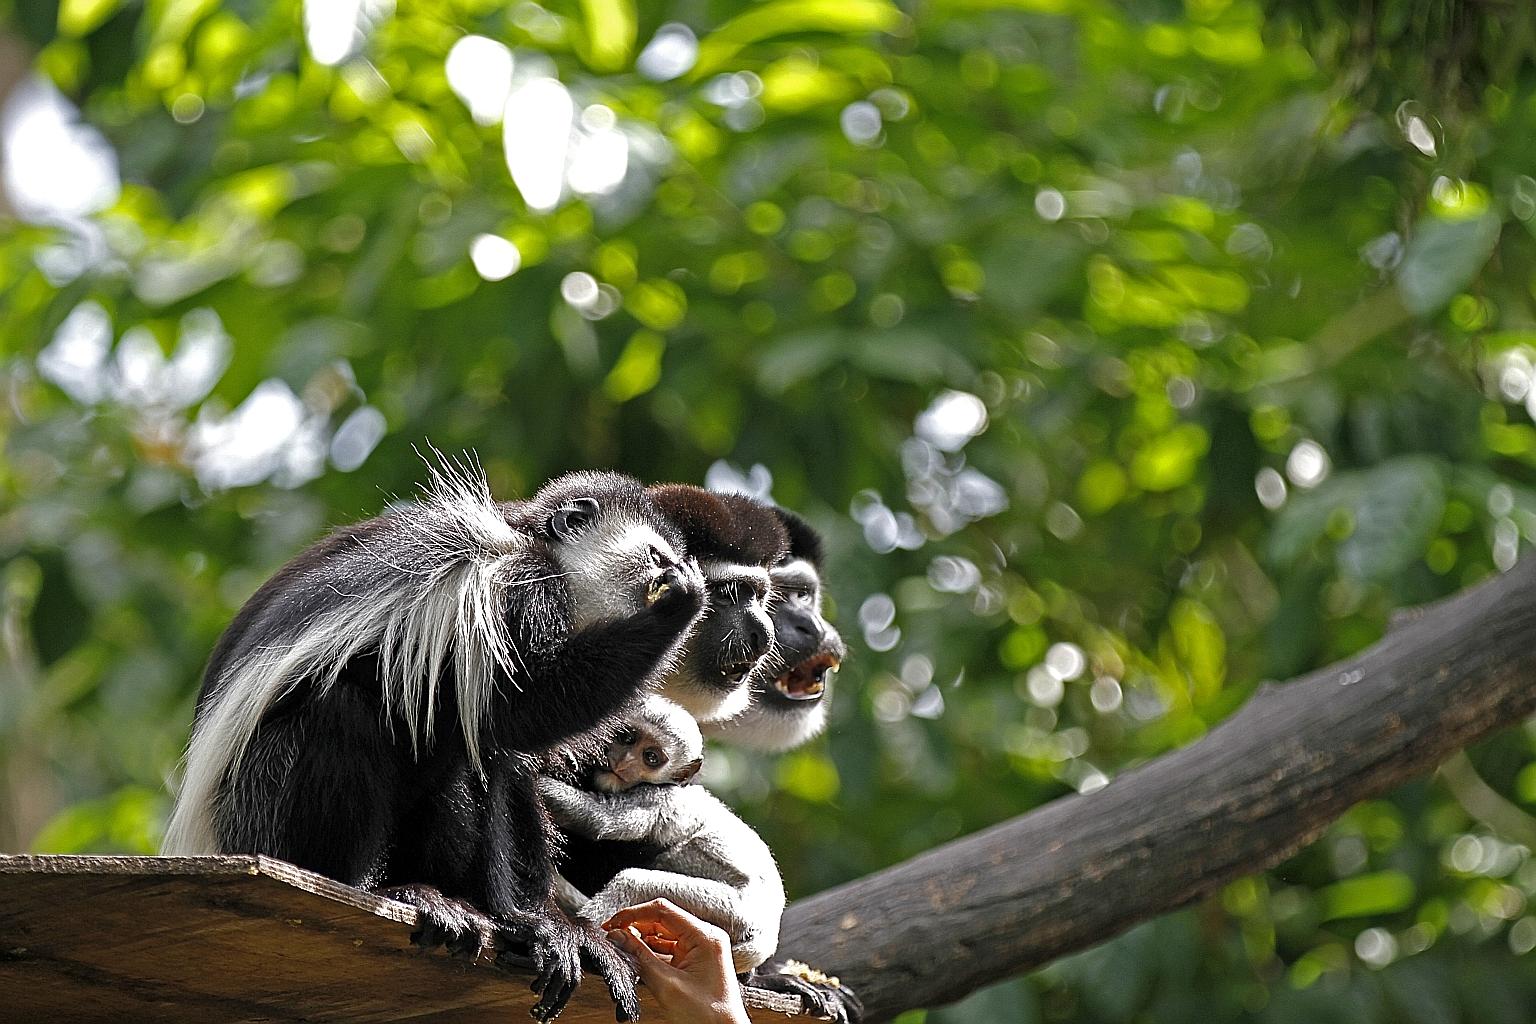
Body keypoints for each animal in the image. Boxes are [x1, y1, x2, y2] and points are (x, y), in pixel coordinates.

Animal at [162, 460, 706, 1022]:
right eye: (656, 557)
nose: (670, 573)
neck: (535, 545)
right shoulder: (518, 591)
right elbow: (517, 710)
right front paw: (680, 605)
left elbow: (512, 757)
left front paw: (557, 930)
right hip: (261, 805)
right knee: (347, 715)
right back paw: (386, 890)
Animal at [540, 695, 786, 974]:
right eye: (626, 738)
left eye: (651, 758)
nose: (623, 763)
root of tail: (769, 932)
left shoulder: (656, 799)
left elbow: (598, 819)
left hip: (733, 910)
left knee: (635, 882)